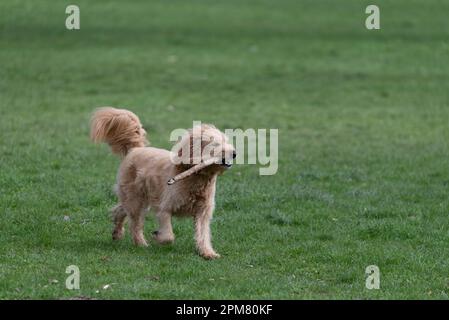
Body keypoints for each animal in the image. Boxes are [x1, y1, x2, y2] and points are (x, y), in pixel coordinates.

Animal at [88, 106, 234, 258]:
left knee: (120, 210)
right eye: (215, 144)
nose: (234, 154)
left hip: (136, 199)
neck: (197, 178)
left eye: (227, 142)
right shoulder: (164, 208)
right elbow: (168, 235)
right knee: (135, 224)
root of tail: (136, 149)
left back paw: (117, 232)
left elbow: (203, 233)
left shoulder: (203, 212)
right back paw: (141, 243)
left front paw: (207, 253)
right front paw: (157, 236)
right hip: (136, 199)